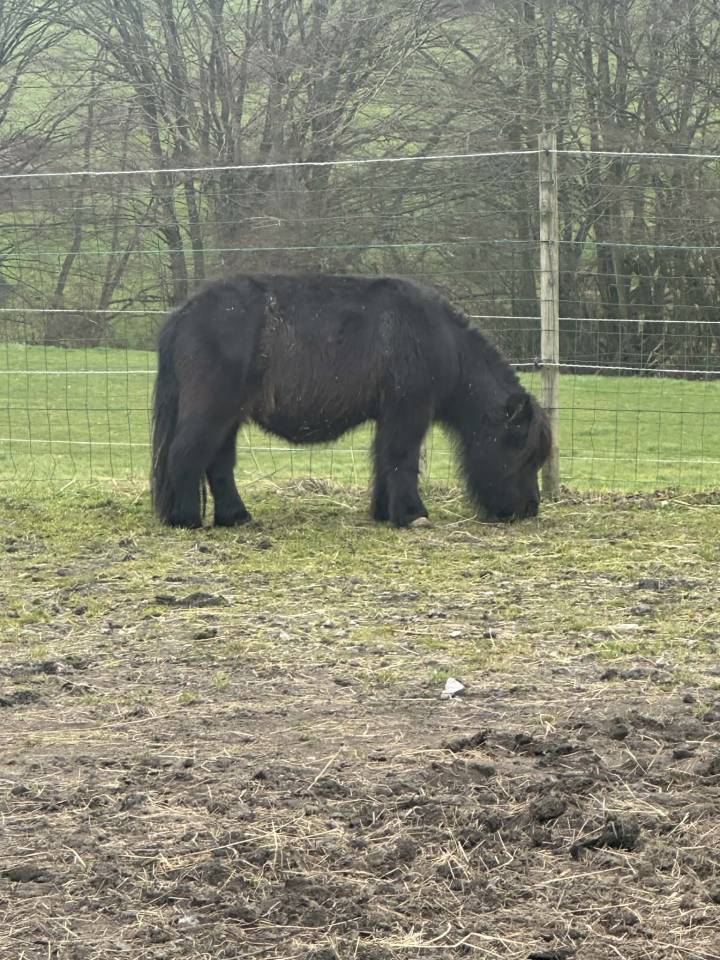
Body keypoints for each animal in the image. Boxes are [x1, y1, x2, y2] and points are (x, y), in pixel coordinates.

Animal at [151, 274, 551, 529]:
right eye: (524, 454)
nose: (531, 507)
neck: (443, 341)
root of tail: (183, 314)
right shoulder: (409, 411)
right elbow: (402, 459)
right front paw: (412, 514)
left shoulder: (390, 415)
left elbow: (384, 460)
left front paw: (384, 512)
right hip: (211, 411)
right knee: (186, 455)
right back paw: (185, 518)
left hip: (229, 417)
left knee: (218, 464)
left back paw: (236, 517)